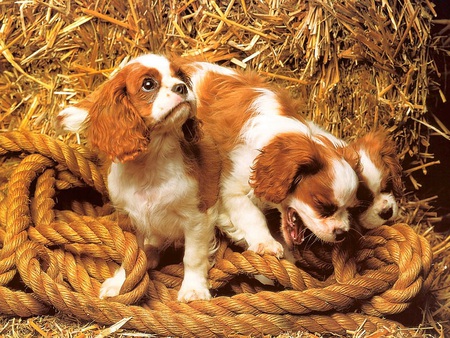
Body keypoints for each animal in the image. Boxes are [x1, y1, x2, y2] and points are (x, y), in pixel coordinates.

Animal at [55, 54, 221, 302]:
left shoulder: (196, 217)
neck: (151, 163)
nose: (181, 87)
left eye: (180, 77)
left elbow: (192, 256)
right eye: (148, 84)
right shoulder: (129, 218)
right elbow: (131, 253)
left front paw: (193, 289)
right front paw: (121, 282)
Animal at [179, 61, 358, 256]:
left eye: (350, 207)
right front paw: (266, 242)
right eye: (322, 205)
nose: (342, 233)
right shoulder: (228, 187)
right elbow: (252, 214)